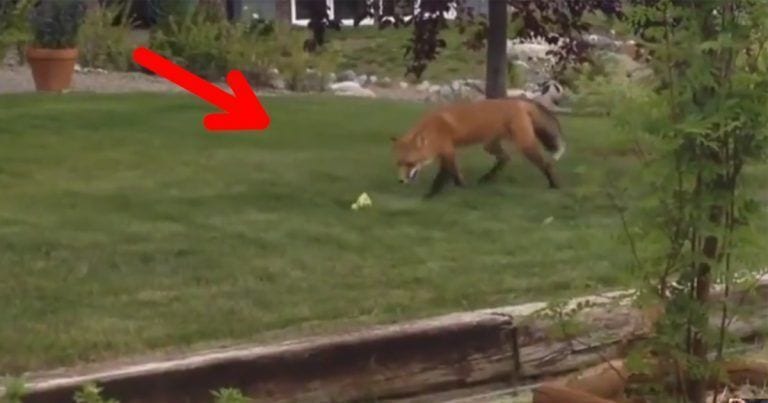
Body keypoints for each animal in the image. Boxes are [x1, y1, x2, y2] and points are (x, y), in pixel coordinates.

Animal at [390, 96, 566, 198]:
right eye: (399, 163)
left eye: (410, 163)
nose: (400, 181)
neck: (433, 129)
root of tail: (520, 101)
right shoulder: (445, 153)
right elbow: (455, 173)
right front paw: (461, 187)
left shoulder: (448, 151)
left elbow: (443, 176)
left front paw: (431, 195)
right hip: (489, 145)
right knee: (505, 159)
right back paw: (487, 178)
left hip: (525, 146)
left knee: (546, 165)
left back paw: (554, 185)